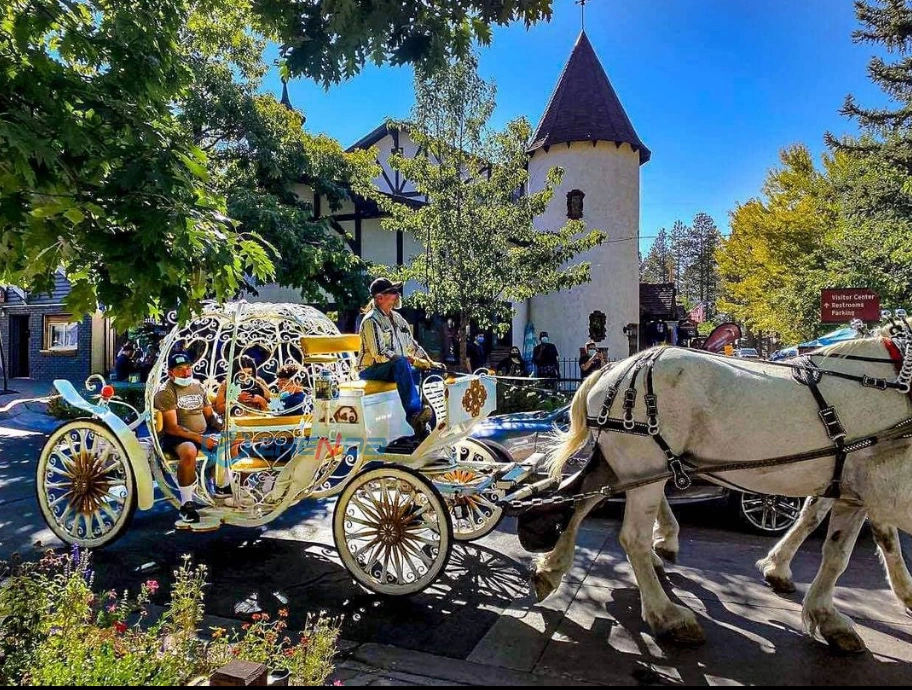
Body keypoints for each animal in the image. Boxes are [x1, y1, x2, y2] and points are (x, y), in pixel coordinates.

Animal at [536, 326, 912, 652]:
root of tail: (616, 369)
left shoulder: (854, 488)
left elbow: (837, 542)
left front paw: (814, 602)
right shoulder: (877, 487)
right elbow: (851, 548)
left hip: (620, 464)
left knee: (576, 502)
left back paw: (550, 568)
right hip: (645, 467)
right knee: (632, 537)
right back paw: (667, 616)